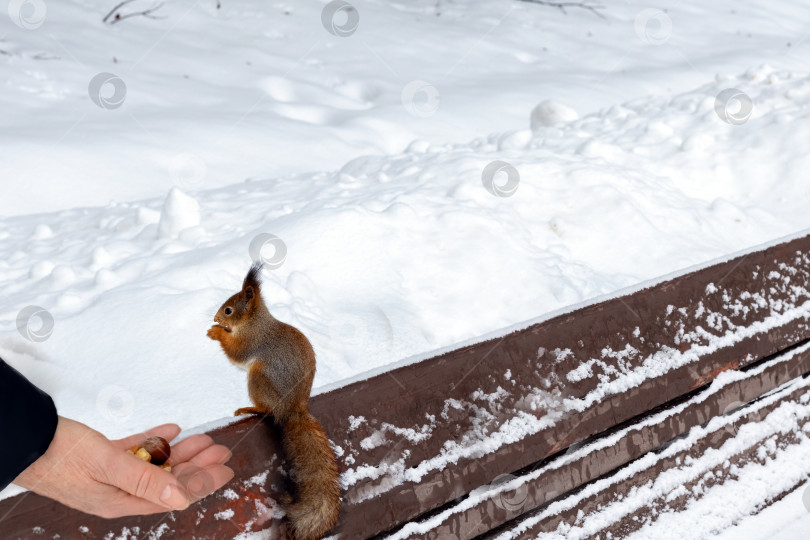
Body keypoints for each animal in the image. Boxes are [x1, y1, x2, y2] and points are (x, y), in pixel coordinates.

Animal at [207, 264, 340, 536]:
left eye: (228, 310)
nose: (215, 317)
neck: (254, 322)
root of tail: (294, 408)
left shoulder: (252, 341)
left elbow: (236, 353)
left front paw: (216, 333)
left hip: (259, 376)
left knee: (267, 410)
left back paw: (251, 408)